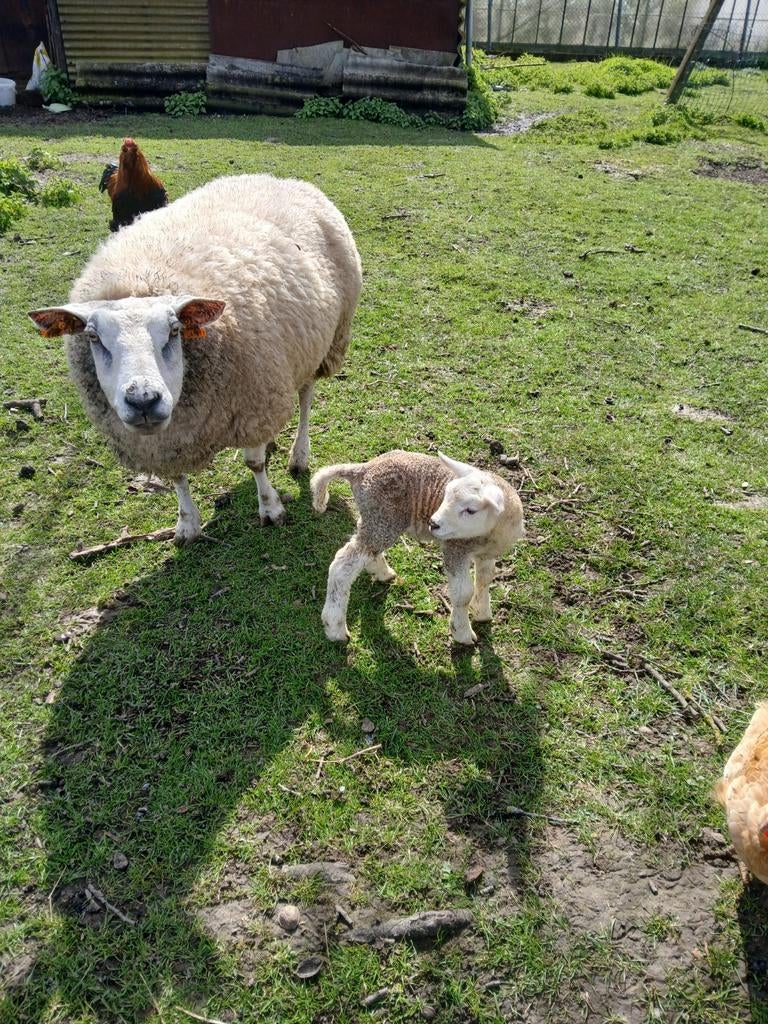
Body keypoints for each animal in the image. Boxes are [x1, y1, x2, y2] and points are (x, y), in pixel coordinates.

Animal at [28, 174, 362, 542]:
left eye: (174, 330)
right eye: (93, 337)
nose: (143, 400)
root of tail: (279, 179)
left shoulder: (253, 403)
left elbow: (255, 464)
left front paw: (270, 507)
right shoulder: (169, 441)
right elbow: (177, 477)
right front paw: (187, 523)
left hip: (322, 344)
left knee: (304, 398)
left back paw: (298, 454)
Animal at [311, 450, 525, 645]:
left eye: (471, 510)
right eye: (446, 495)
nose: (433, 523)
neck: (489, 533)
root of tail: (362, 469)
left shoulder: (487, 553)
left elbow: (485, 579)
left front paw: (482, 612)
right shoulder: (455, 548)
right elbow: (463, 592)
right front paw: (463, 633)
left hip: (375, 518)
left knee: (365, 546)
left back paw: (382, 572)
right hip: (384, 517)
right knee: (343, 564)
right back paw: (335, 628)